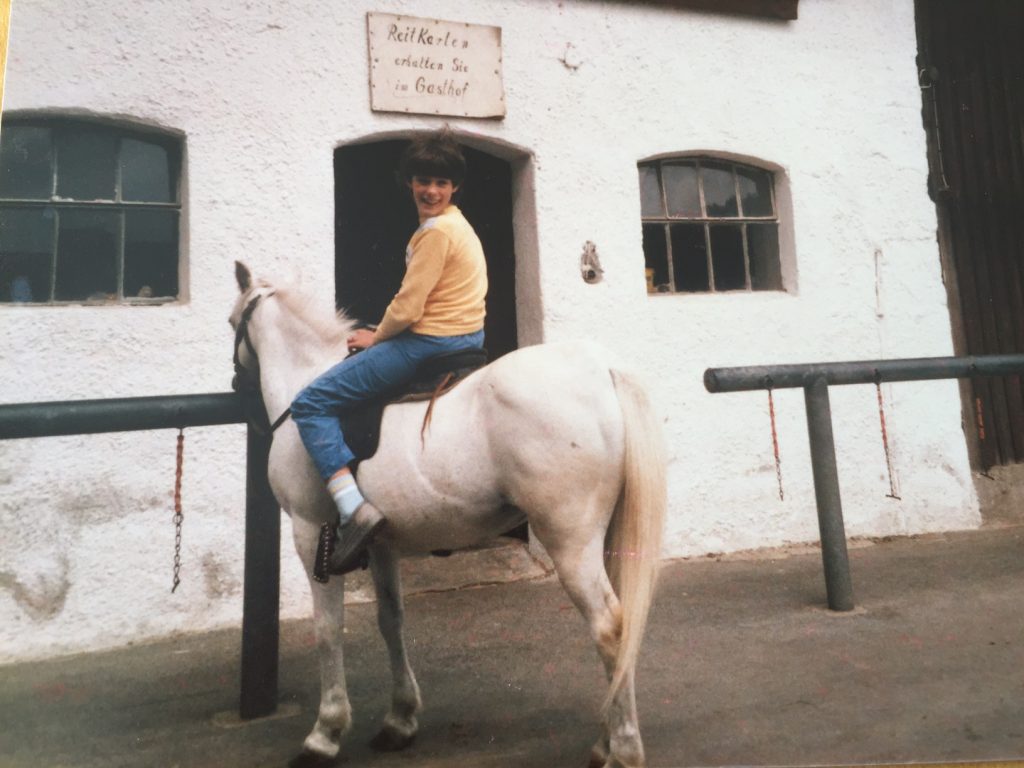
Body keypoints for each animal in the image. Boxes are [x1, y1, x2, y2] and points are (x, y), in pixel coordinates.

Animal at [228, 264, 667, 768]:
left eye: (231, 322)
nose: (237, 388)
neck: (306, 379)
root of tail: (600, 368)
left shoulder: (308, 532)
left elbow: (327, 631)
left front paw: (325, 733)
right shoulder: (381, 543)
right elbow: (391, 621)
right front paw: (399, 719)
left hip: (570, 541)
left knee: (609, 628)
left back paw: (625, 748)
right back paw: (606, 741)